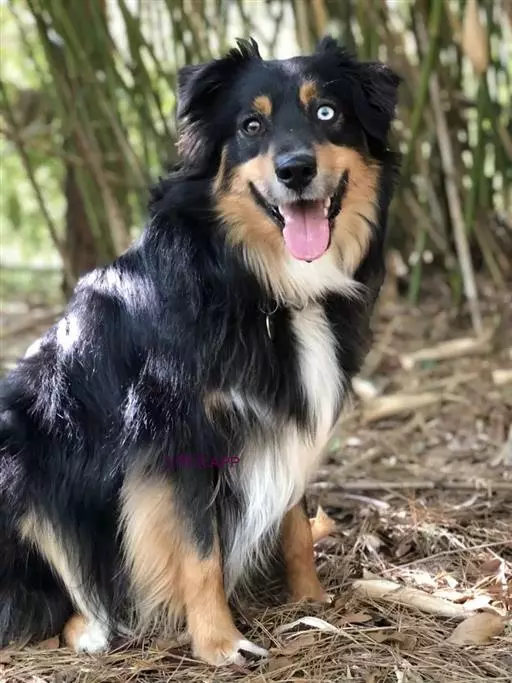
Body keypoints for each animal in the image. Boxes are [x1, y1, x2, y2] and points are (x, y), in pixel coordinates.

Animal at [0, 36, 400, 665]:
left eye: (326, 113)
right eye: (251, 125)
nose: (296, 170)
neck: (257, 285)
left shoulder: (287, 415)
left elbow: (294, 526)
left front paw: (309, 602)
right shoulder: (179, 434)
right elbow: (199, 549)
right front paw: (219, 642)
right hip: (22, 454)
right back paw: (90, 627)